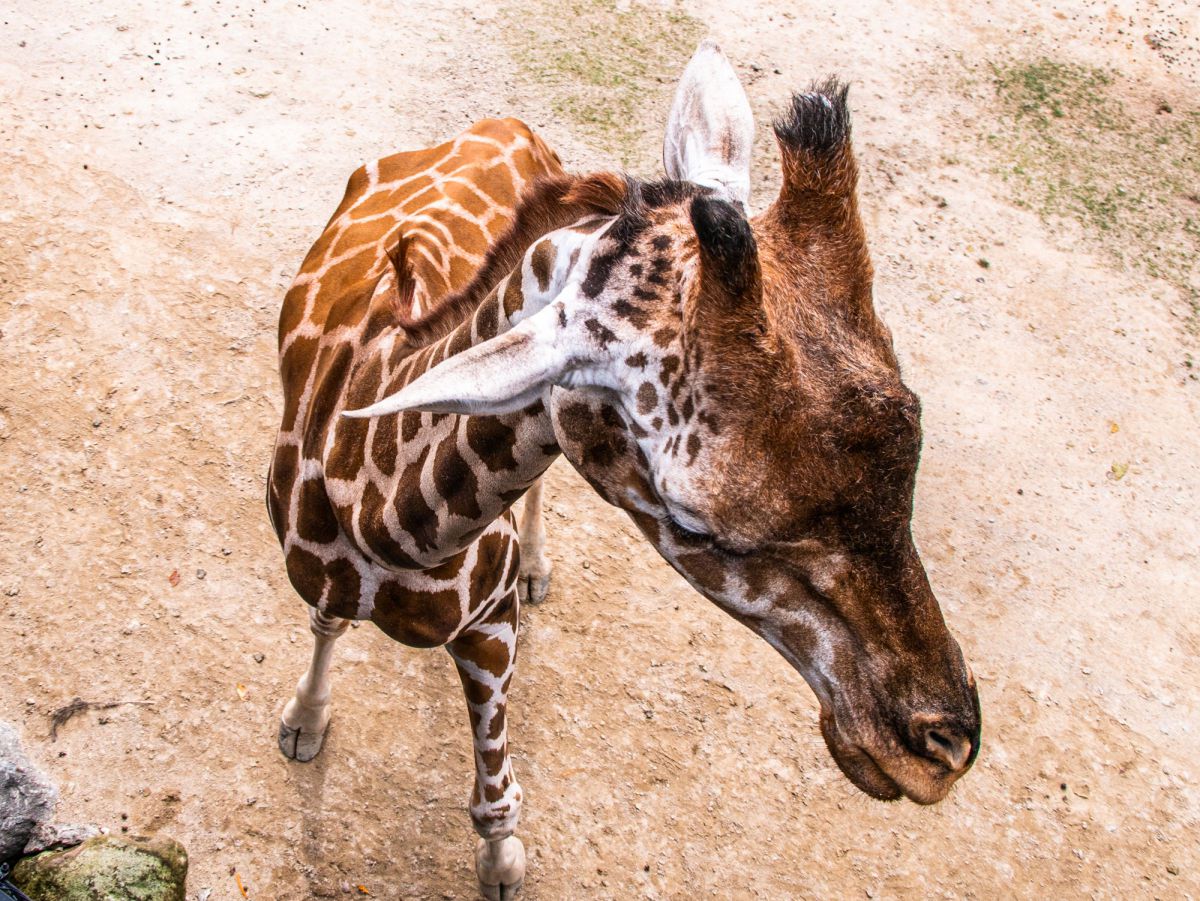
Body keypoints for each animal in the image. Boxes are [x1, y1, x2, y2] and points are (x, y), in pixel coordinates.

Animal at [274, 42, 984, 901]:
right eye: (695, 521)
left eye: (911, 427)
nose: (940, 749)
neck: (388, 532)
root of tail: (503, 124)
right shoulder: (324, 576)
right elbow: (325, 622)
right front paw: (304, 720)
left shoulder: (492, 624)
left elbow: (497, 789)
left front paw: (502, 865)